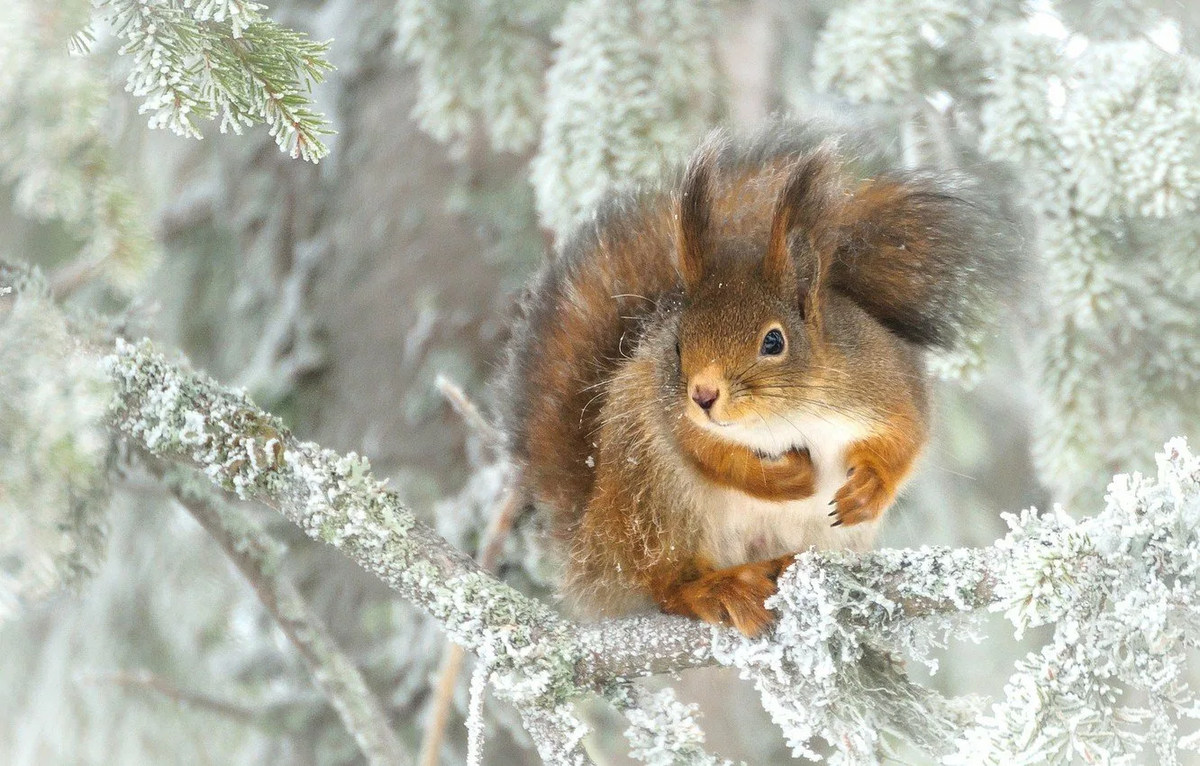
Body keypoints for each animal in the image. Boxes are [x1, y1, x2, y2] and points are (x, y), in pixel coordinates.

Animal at [494, 124, 1012, 633]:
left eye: (774, 342)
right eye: (677, 345)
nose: (703, 395)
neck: (788, 414)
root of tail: (593, 547)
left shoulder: (885, 383)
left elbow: (905, 440)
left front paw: (868, 489)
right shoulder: (669, 415)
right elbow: (706, 452)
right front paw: (788, 478)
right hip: (651, 498)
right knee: (663, 583)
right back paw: (717, 589)